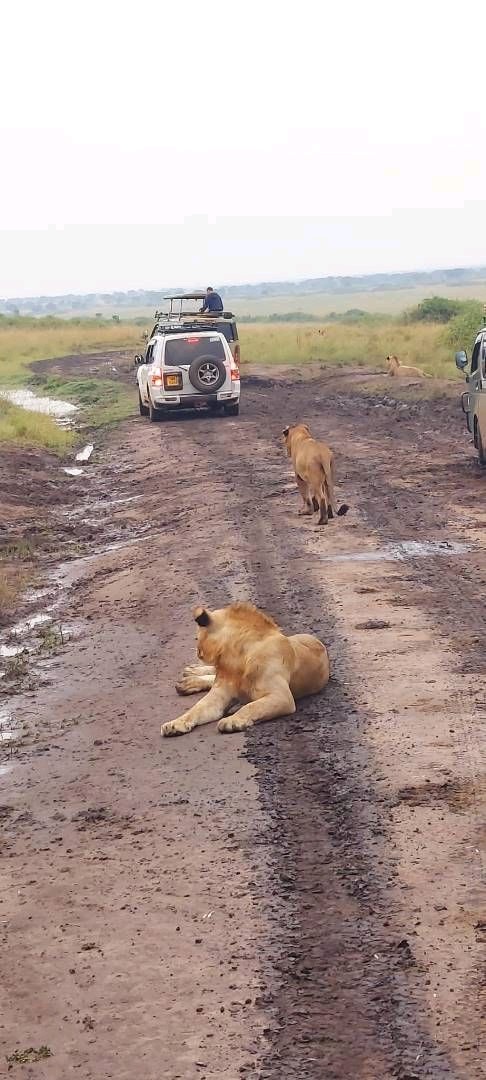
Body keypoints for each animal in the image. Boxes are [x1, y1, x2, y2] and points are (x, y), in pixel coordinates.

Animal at [161, 602, 330, 737]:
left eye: (198, 638)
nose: (198, 652)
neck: (235, 660)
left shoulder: (282, 696)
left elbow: (251, 707)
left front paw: (232, 721)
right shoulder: (219, 694)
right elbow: (195, 709)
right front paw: (174, 724)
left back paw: (188, 680)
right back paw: (189, 676)